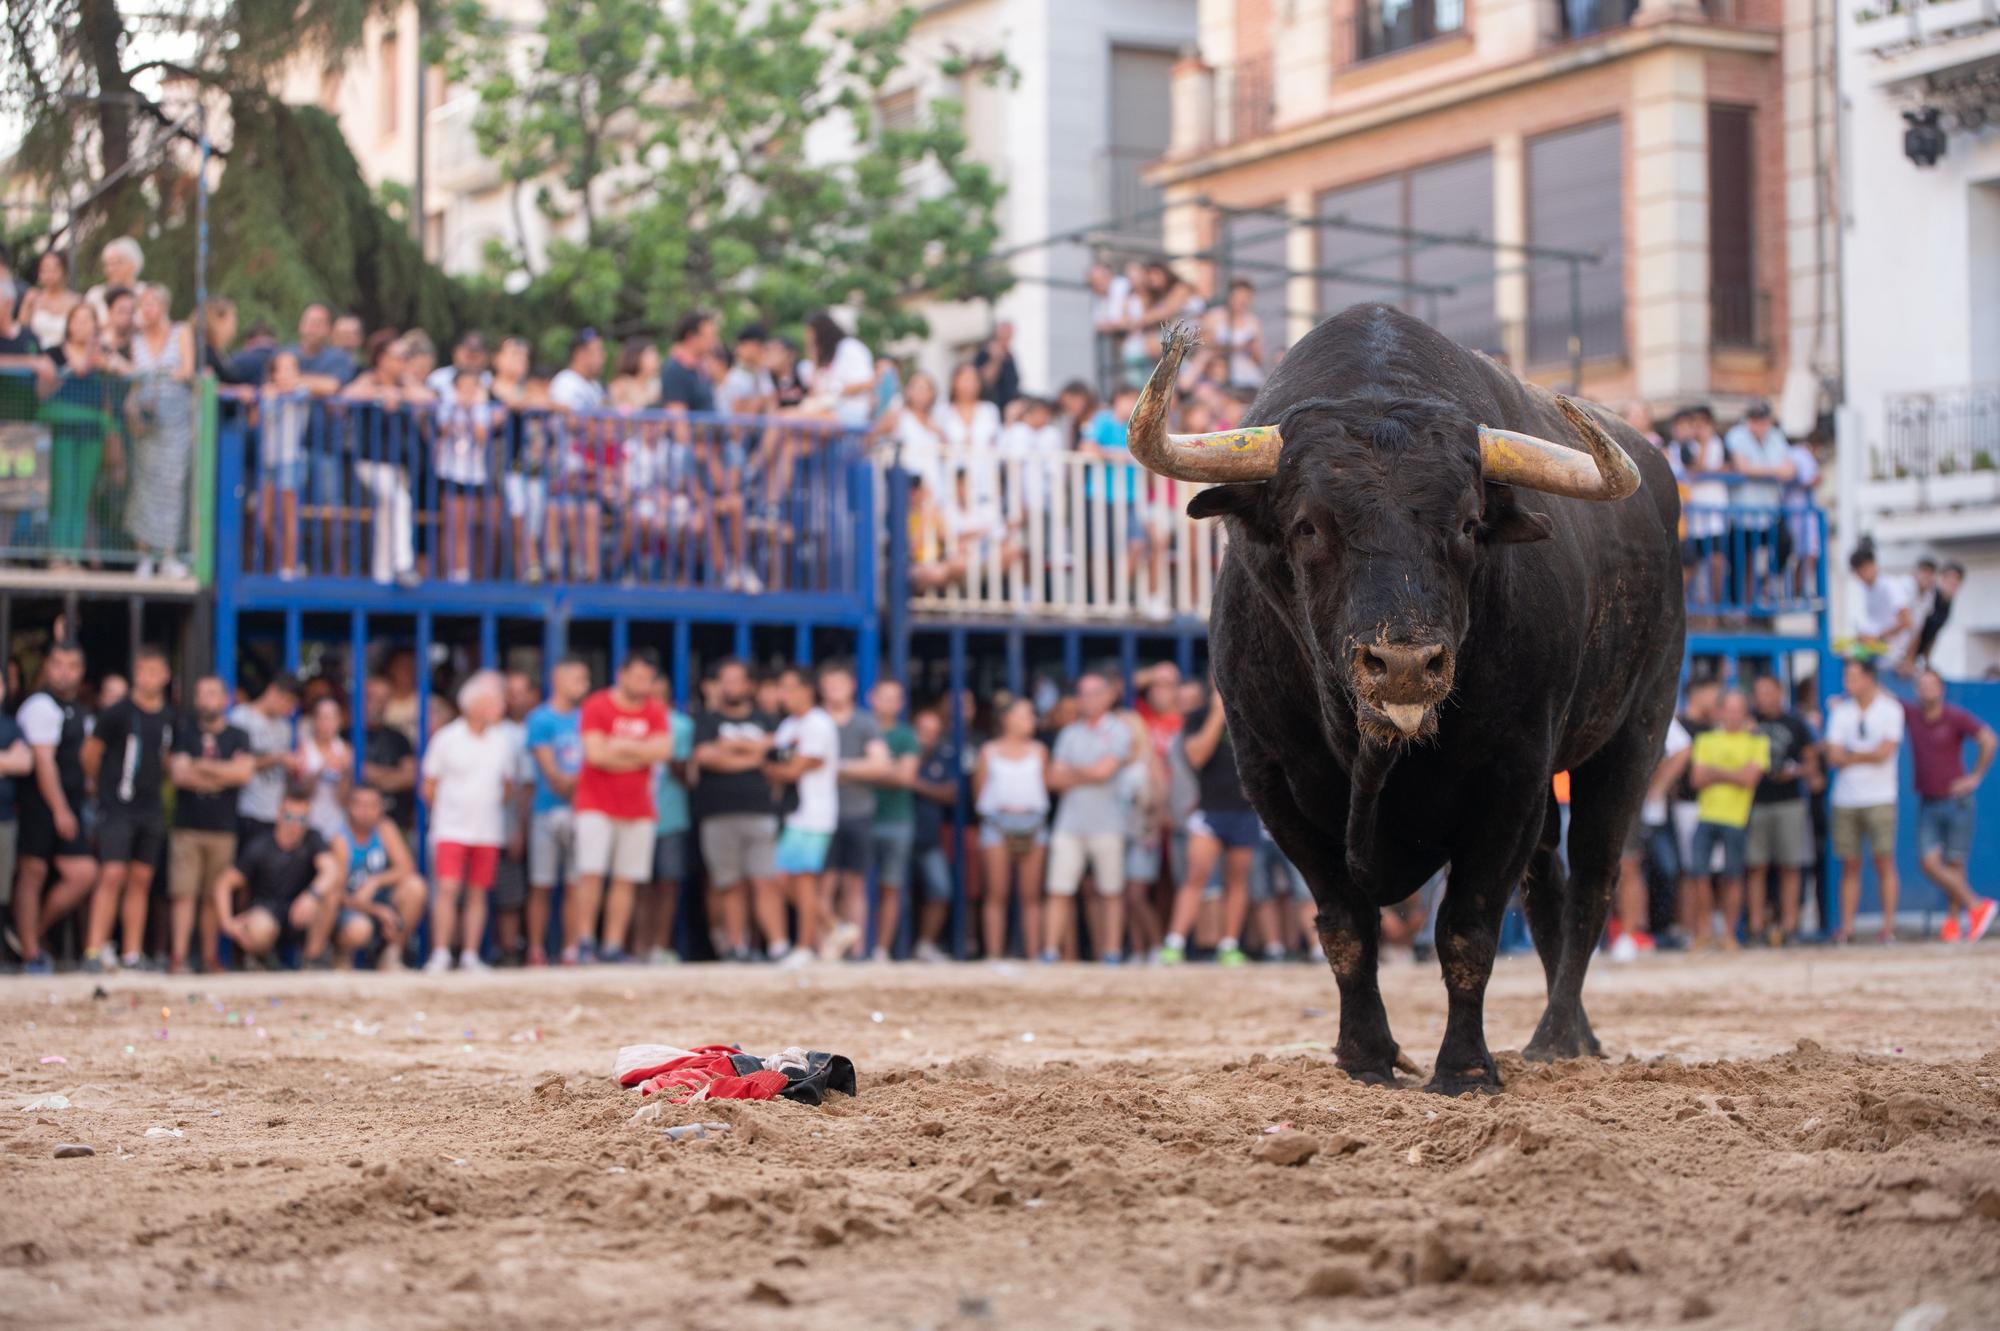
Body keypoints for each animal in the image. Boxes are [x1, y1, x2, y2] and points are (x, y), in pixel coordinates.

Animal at [1176, 305, 1680, 1095]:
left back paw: (1559, 1037)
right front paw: (1365, 1057)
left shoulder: (1511, 775)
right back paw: (1576, 1036)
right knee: (1548, 889)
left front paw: (1466, 1068)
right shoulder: (1271, 780)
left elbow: (1468, 929)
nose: (1406, 664)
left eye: (1470, 525)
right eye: (1308, 525)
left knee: (1593, 885)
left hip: (1636, 733)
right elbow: (1346, 929)